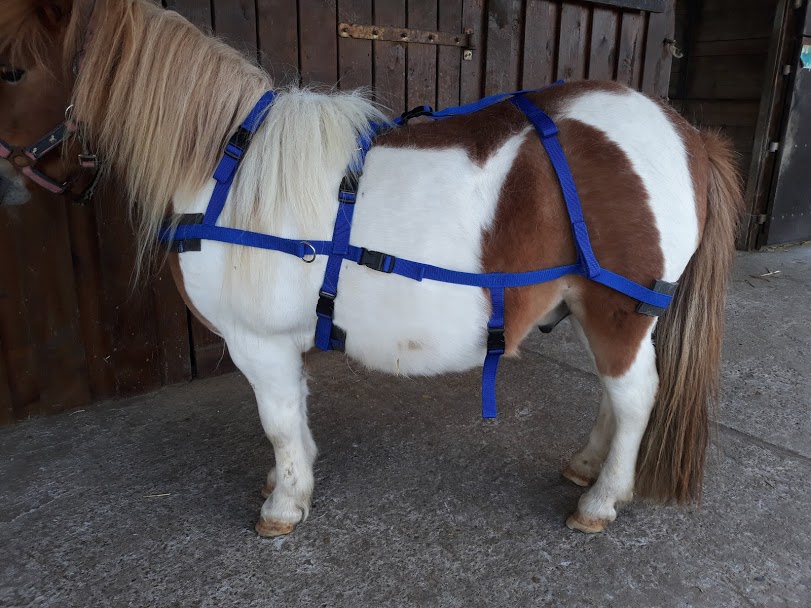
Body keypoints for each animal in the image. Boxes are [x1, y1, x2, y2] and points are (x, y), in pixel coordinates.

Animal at [0, 0, 744, 537]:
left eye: (10, 72)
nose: (7, 177)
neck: (226, 170)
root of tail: (686, 133)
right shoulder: (282, 344)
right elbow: (294, 416)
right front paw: (291, 482)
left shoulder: (258, 342)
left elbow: (277, 420)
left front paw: (283, 507)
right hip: (601, 312)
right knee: (614, 397)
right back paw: (587, 466)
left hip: (618, 310)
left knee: (635, 395)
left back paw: (600, 500)